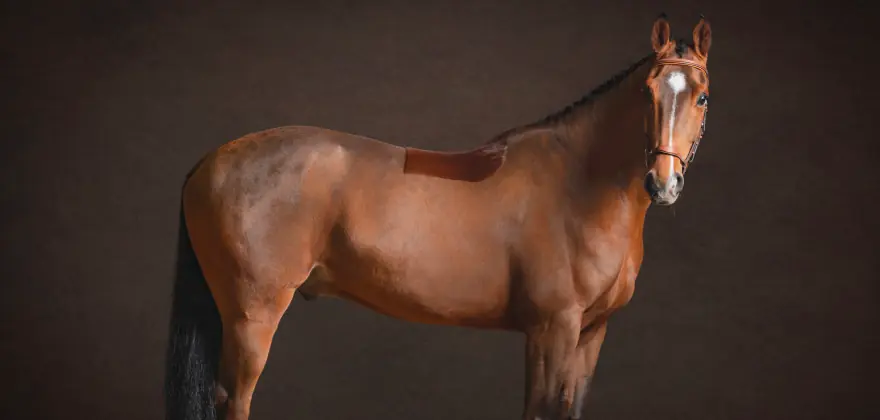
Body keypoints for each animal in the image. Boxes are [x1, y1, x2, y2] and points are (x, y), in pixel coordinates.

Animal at [164, 14, 712, 420]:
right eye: (647, 93)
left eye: (702, 97)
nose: (663, 183)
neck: (581, 182)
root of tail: (211, 160)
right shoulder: (551, 329)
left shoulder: (591, 333)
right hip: (251, 318)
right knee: (232, 402)